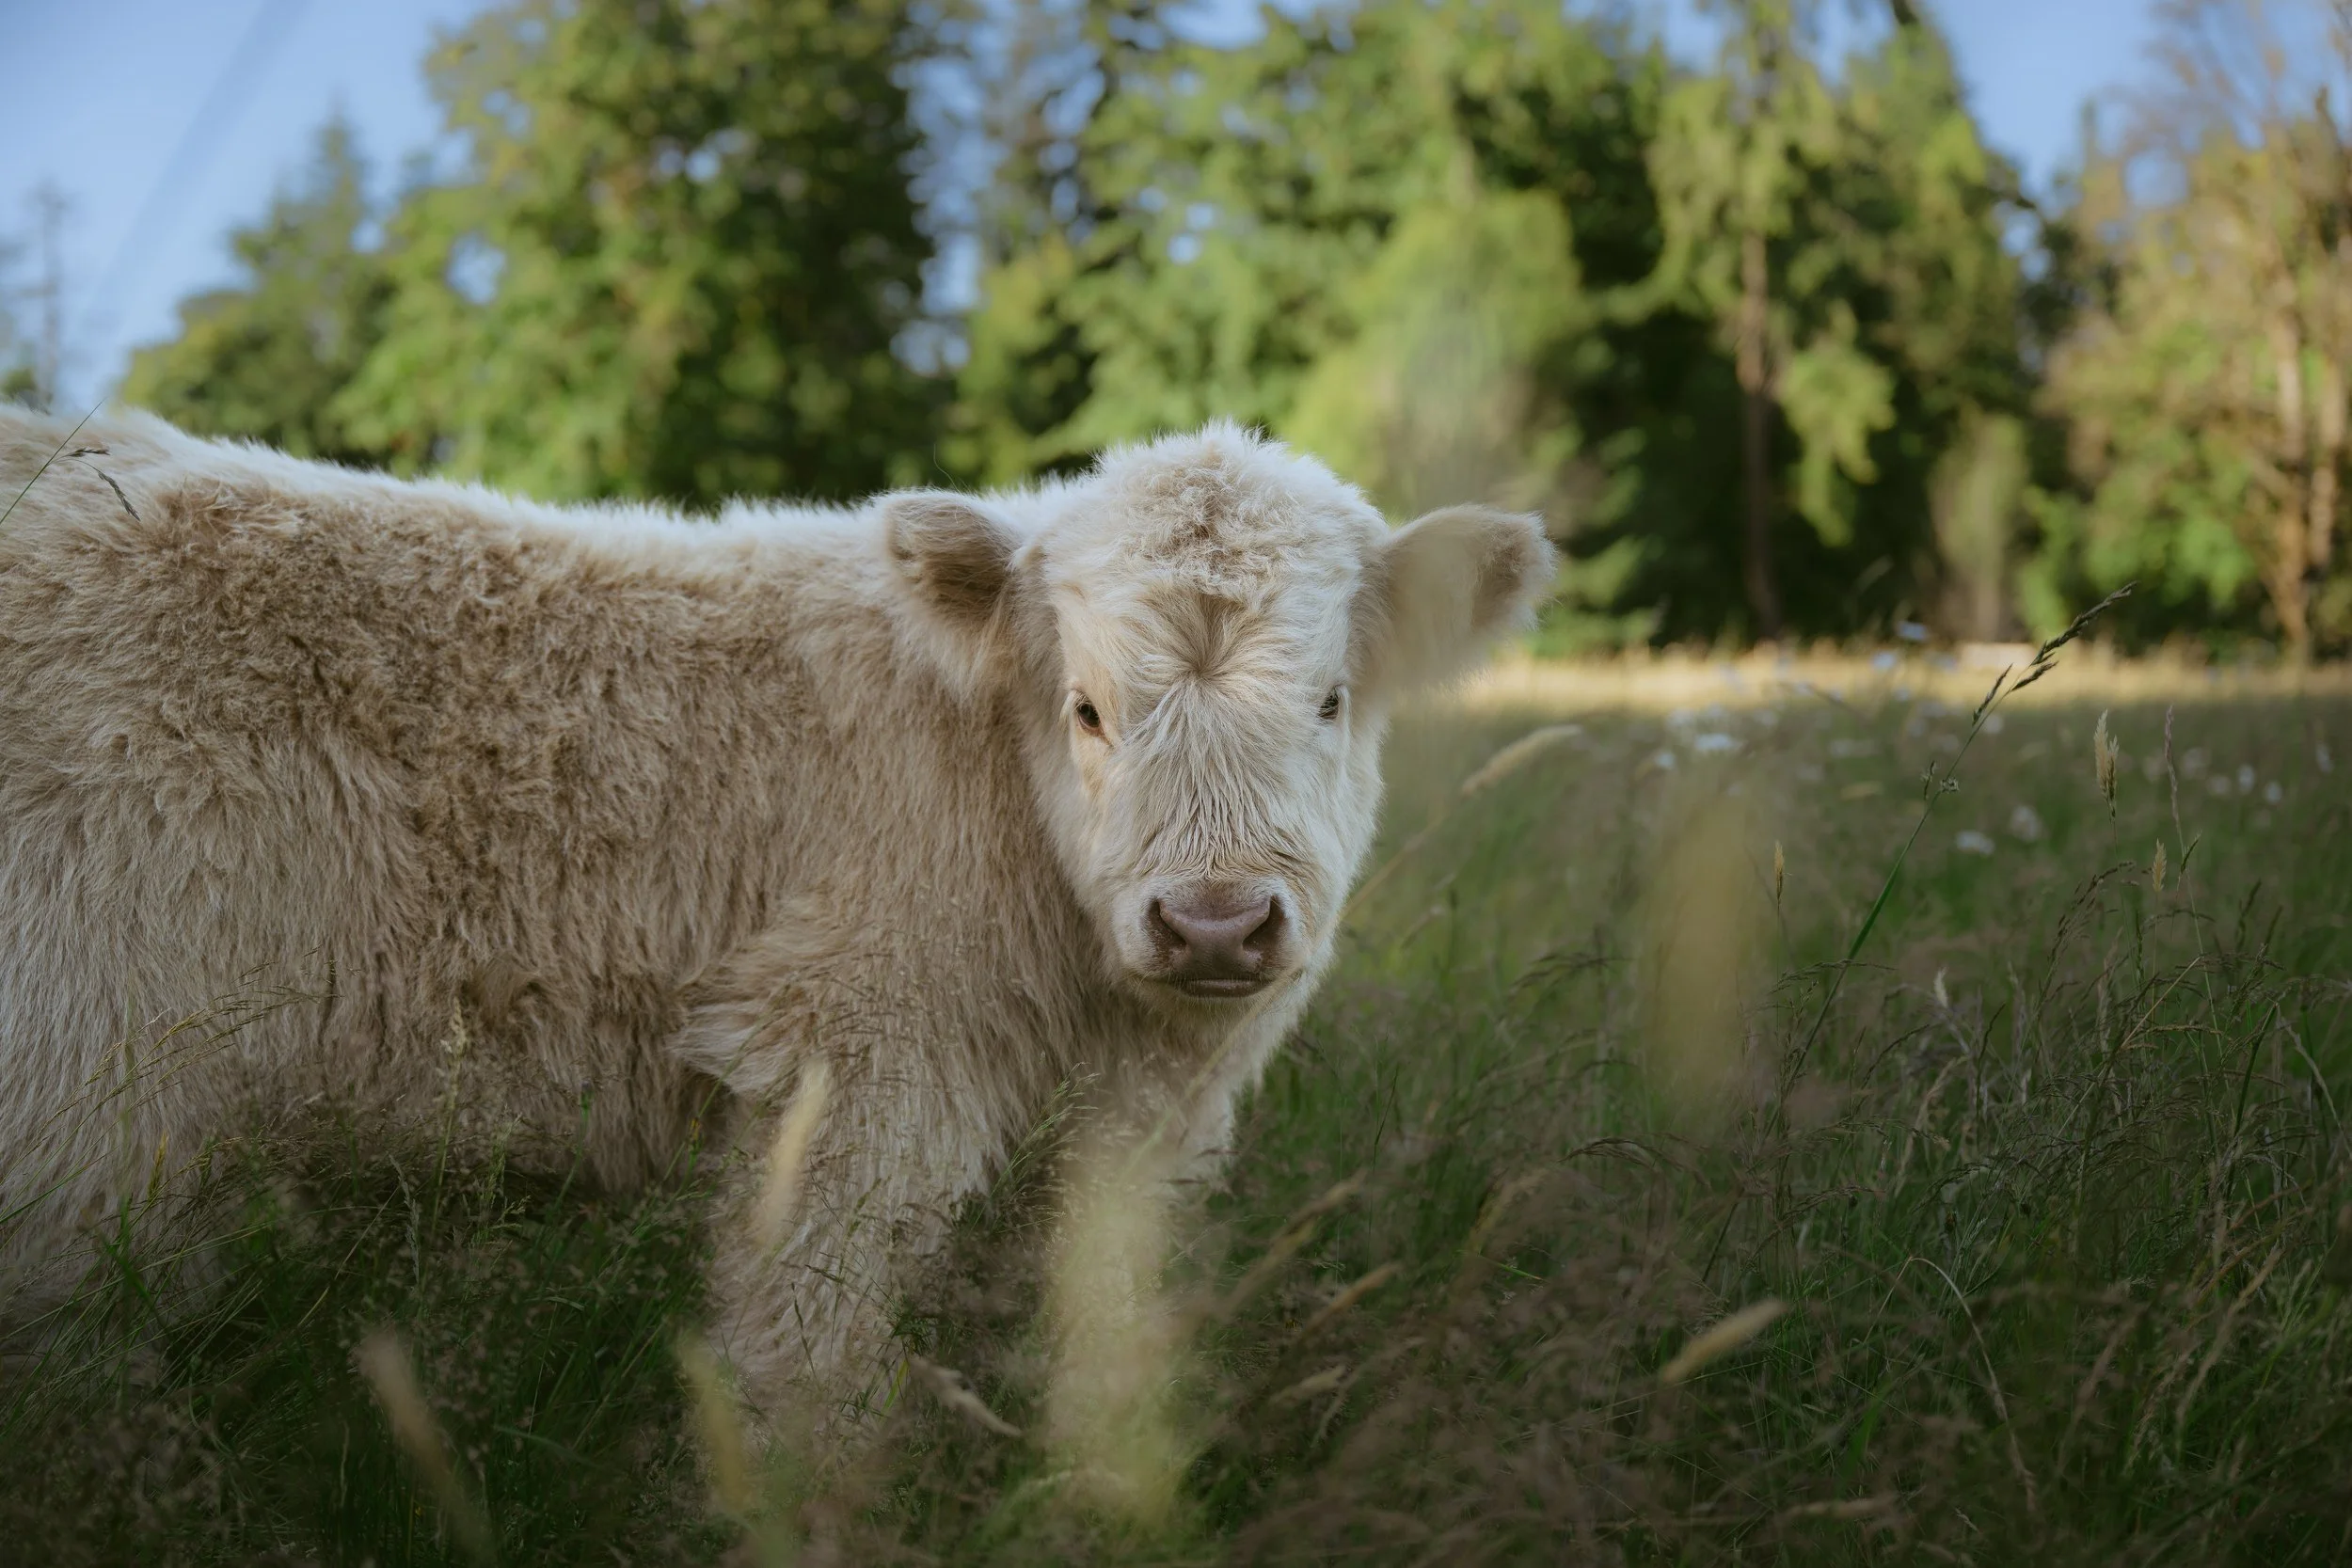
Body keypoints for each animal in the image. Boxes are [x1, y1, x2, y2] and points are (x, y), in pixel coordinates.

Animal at [0, 407, 1552, 1421]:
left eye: (1333, 699)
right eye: (1088, 707)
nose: (1218, 923)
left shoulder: (1140, 1122)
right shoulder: (850, 1053)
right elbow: (807, 1341)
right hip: (83, 1118)